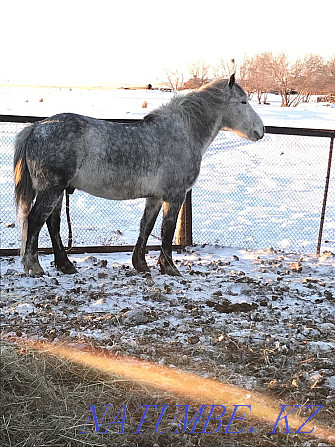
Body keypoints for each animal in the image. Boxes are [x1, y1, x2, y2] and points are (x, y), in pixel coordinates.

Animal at [13, 74, 266, 276]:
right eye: (243, 101)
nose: (261, 131)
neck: (183, 133)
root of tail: (36, 127)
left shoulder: (155, 197)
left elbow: (147, 226)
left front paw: (141, 264)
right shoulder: (175, 196)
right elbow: (167, 230)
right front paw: (169, 267)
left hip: (56, 191)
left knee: (52, 224)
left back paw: (65, 265)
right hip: (52, 190)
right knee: (34, 221)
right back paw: (34, 267)